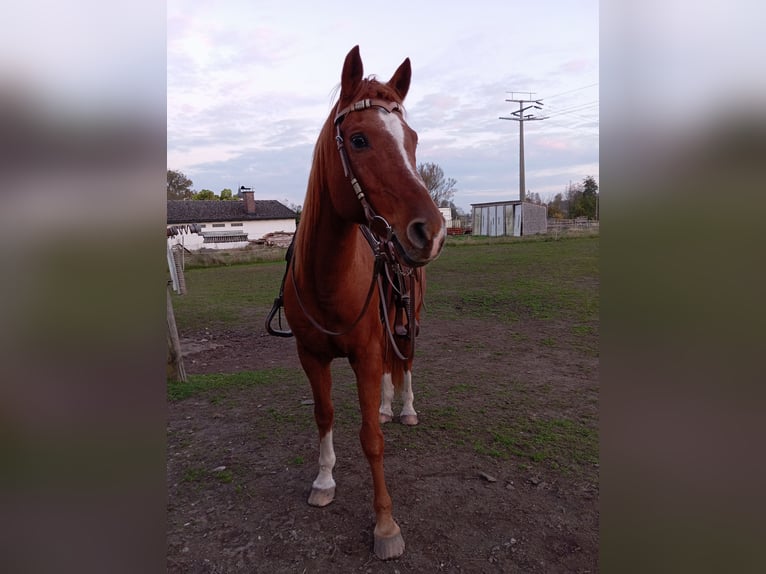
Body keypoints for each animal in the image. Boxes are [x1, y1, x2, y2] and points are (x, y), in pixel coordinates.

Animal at [282, 47, 444, 560]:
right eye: (358, 139)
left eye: (412, 140)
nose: (432, 230)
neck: (327, 280)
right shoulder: (311, 356)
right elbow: (325, 415)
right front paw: (323, 481)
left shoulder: (366, 355)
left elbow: (371, 438)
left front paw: (385, 526)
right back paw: (390, 405)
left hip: (409, 319)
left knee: (405, 360)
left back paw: (405, 407)